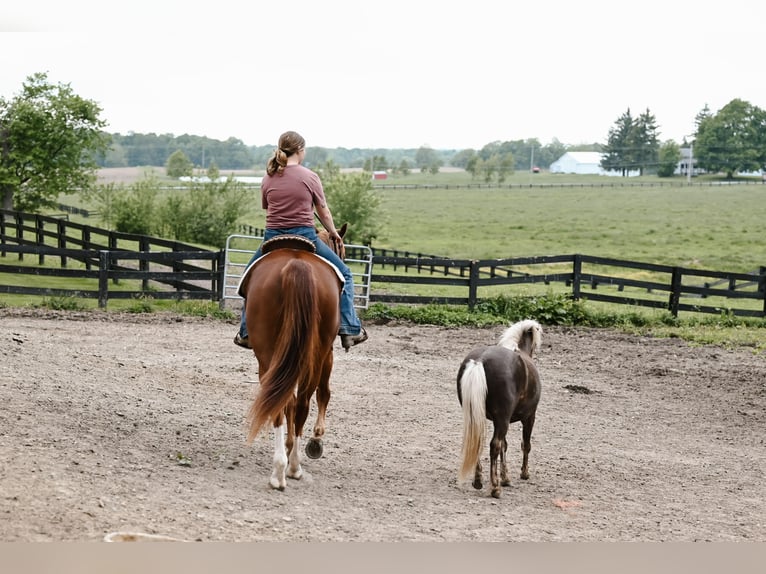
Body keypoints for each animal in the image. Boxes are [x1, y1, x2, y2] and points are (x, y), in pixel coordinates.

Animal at [240, 227, 348, 492]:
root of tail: (296, 266)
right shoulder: (328, 355)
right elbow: (325, 393)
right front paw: (316, 439)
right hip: (316, 354)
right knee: (301, 402)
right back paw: (290, 468)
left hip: (270, 355)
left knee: (284, 400)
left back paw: (282, 467)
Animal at [460, 320, 544, 500]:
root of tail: (480, 360)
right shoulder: (529, 417)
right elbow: (525, 445)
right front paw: (524, 473)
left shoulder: (498, 420)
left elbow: (505, 446)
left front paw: (505, 478)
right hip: (503, 419)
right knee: (495, 446)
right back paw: (495, 488)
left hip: (478, 416)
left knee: (479, 442)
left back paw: (478, 481)